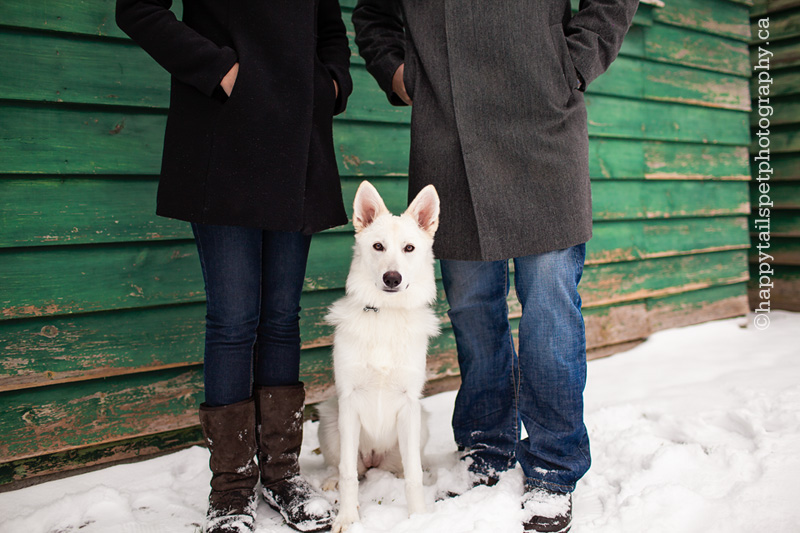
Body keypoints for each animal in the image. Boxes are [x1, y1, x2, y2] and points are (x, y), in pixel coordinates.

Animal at [318, 181, 440, 528]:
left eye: (409, 248)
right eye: (377, 246)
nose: (392, 278)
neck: (385, 313)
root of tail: (374, 459)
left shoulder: (409, 404)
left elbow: (413, 476)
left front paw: (418, 518)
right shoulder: (348, 403)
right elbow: (348, 474)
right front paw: (347, 518)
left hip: (419, 424)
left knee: (404, 468)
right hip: (329, 418)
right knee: (346, 468)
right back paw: (331, 479)